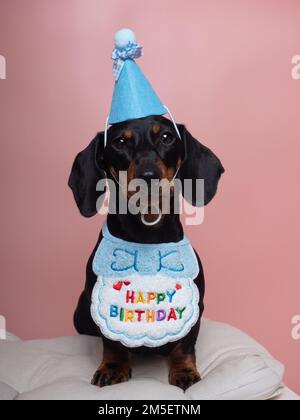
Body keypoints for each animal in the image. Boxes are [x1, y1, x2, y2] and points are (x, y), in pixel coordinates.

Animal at [67, 114, 223, 390]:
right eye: (119, 142)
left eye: (166, 137)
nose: (148, 176)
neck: (147, 234)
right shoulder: (100, 308)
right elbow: (111, 341)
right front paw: (112, 367)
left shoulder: (196, 308)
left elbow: (185, 344)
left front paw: (184, 371)